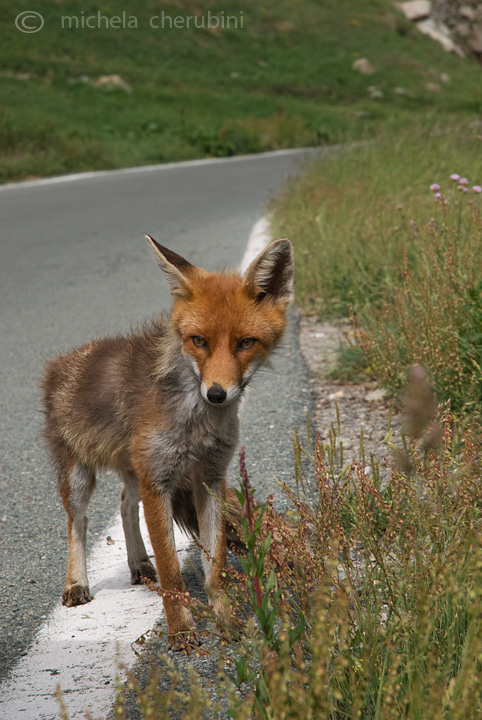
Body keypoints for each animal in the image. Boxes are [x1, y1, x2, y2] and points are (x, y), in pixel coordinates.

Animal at [43, 235, 294, 648]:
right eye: (198, 341)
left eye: (245, 342)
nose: (216, 394)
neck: (197, 423)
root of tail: (60, 361)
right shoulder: (158, 480)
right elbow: (172, 569)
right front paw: (181, 630)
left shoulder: (209, 478)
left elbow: (215, 567)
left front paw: (226, 621)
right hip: (80, 475)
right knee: (77, 522)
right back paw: (77, 583)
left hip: (134, 469)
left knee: (126, 505)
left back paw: (139, 564)